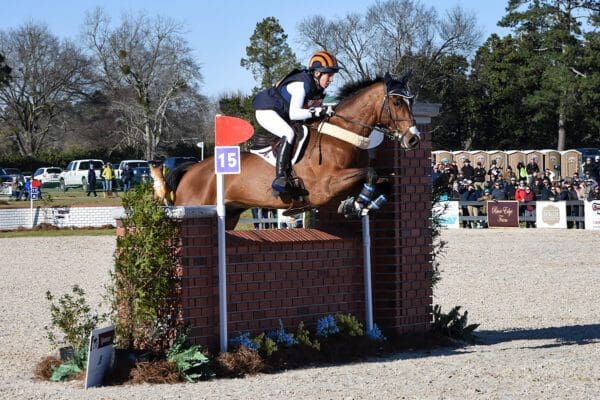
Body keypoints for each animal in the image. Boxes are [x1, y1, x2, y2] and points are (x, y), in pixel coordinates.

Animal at [166, 71, 420, 228]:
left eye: (411, 102)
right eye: (397, 102)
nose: (413, 139)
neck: (341, 136)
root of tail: (191, 170)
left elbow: (384, 181)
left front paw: (361, 203)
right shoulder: (325, 187)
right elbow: (371, 173)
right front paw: (356, 205)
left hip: (230, 214)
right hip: (194, 207)